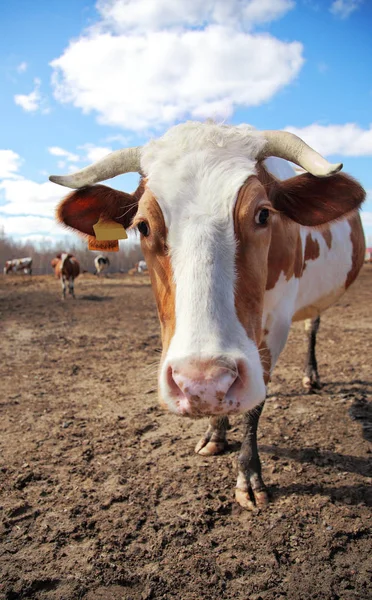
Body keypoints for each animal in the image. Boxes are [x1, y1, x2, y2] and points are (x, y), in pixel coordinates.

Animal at [48, 123, 364, 510]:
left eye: (263, 214)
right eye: (143, 226)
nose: (202, 381)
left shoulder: (275, 325)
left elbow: (256, 402)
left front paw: (248, 473)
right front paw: (215, 431)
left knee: (313, 326)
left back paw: (311, 375)